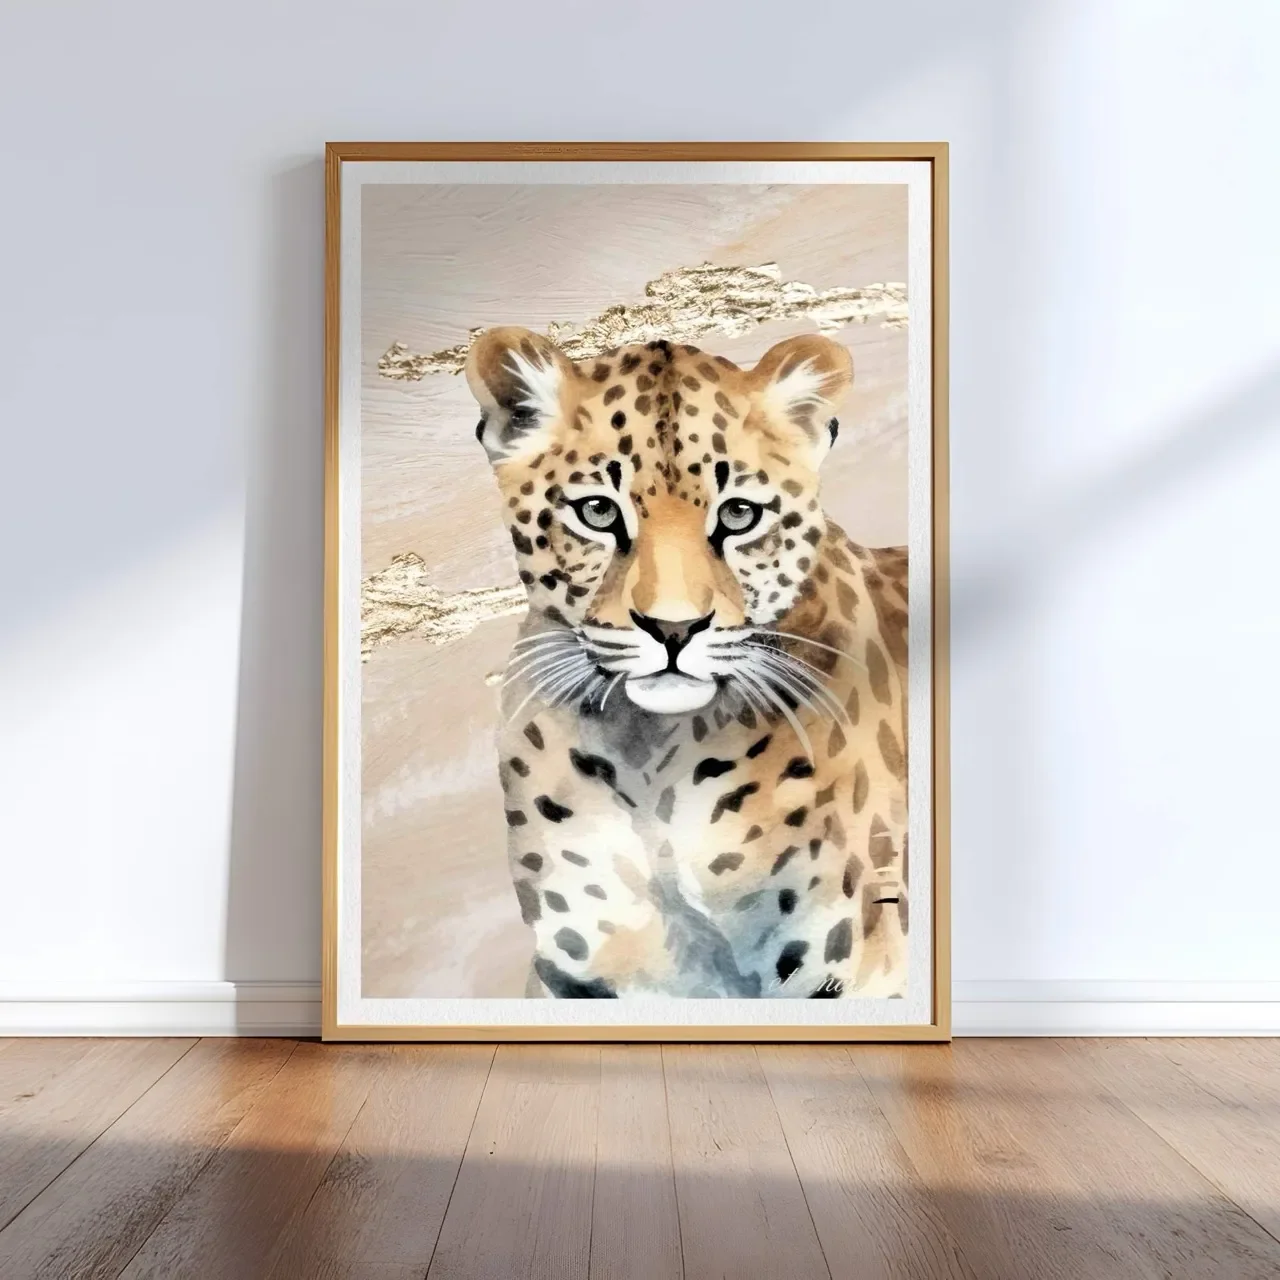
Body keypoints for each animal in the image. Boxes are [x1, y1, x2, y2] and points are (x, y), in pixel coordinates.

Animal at [465, 325, 909, 999]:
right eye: (597, 512)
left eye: (738, 515)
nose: (673, 629)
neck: (647, 762)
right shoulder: (580, 975)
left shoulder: (846, 969)